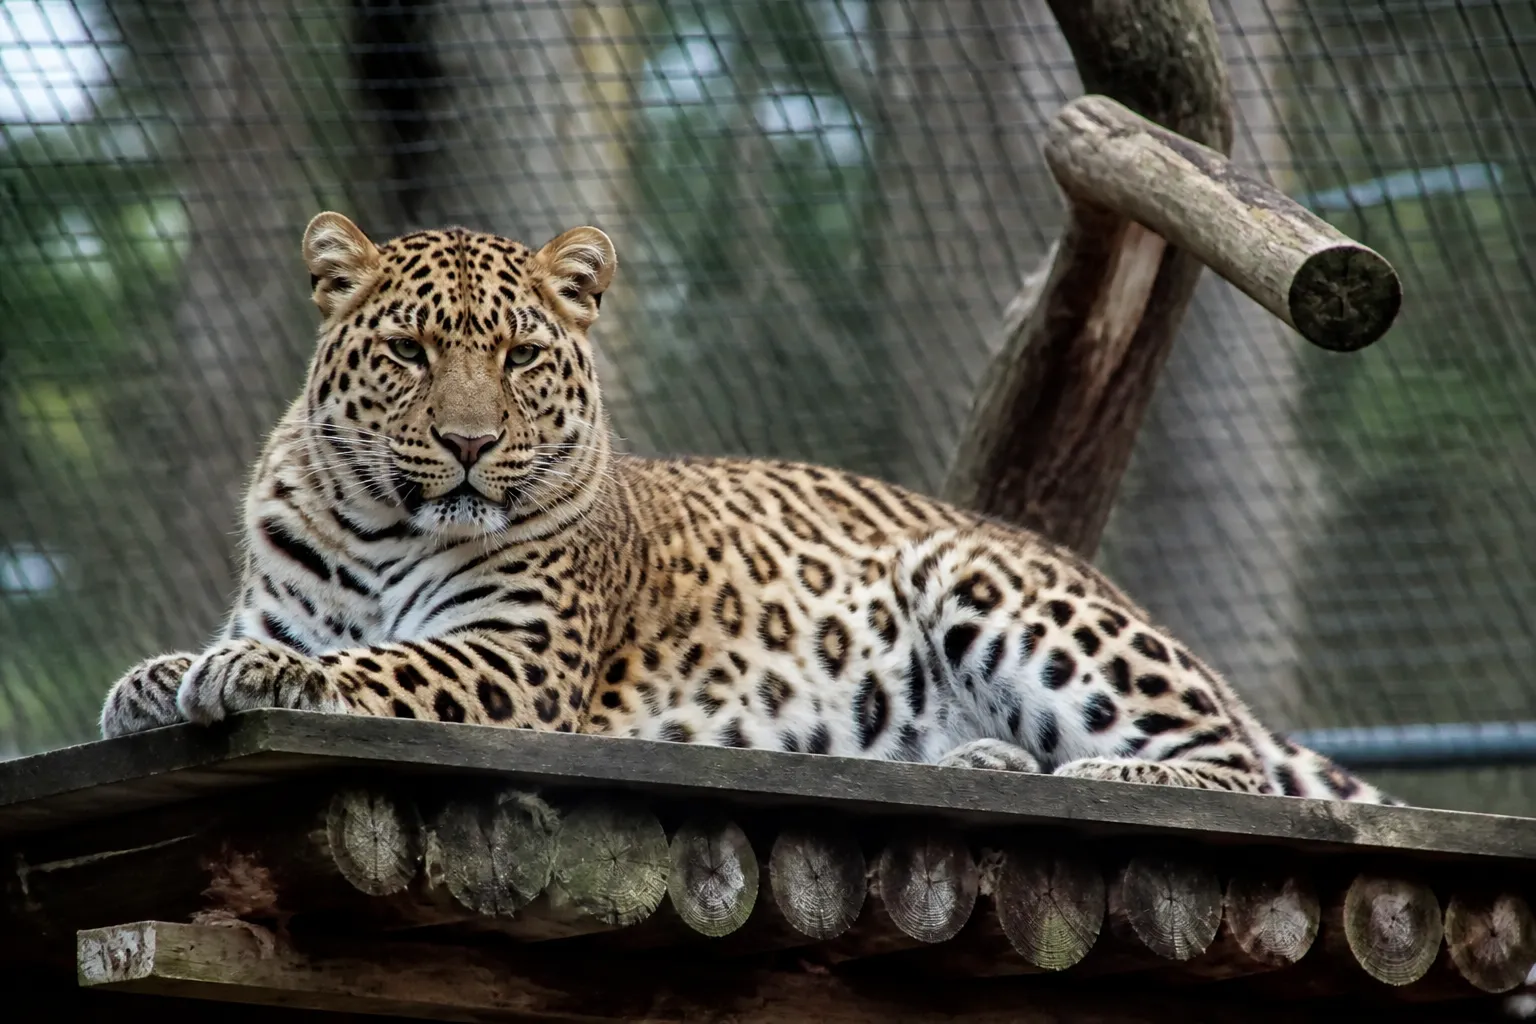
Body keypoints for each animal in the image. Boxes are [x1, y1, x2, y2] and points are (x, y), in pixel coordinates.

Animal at [99, 211, 1401, 806]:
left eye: (520, 359)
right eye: (412, 354)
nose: (470, 445)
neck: (382, 529)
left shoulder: (513, 660)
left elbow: (377, 667)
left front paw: (261, 680)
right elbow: (210, 655)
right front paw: (150, 681)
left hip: (985, 582)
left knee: (1231, 760)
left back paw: (1104, 776)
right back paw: (981, 756)